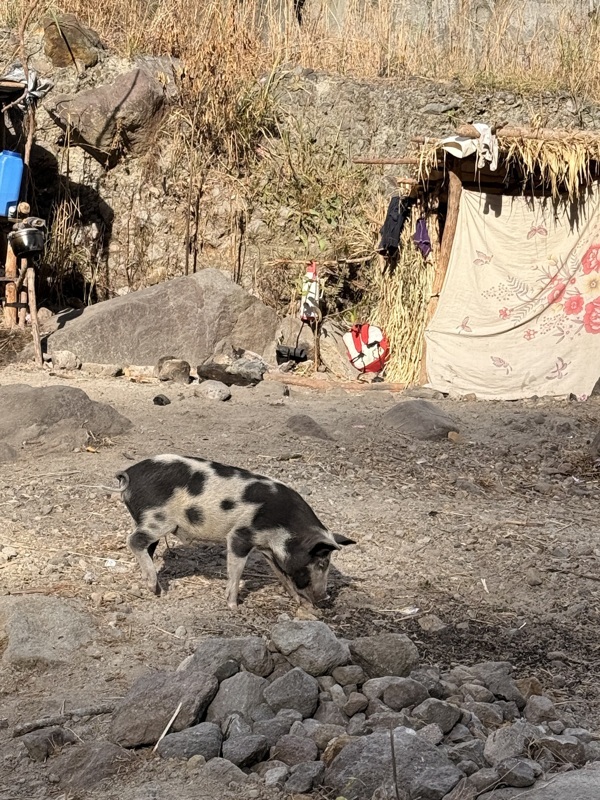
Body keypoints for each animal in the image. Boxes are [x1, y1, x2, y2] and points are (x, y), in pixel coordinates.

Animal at [112, 454, 355, 610]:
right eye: (322, 562)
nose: (325, 597)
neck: (285, 525)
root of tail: (128, 474)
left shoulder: (267, 548)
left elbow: (282, 574)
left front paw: (300, 602)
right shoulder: (240, 536)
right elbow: (236, 570)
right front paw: (233, 606)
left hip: (145, 520)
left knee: (146, 547)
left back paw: (154, 587)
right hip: (157, 519)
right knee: (133, 541)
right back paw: (155, 588)